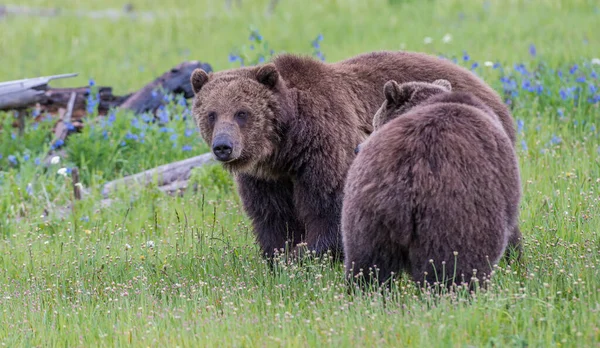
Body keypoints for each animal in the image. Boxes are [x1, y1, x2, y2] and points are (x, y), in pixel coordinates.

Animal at [191, 50, 516, 260]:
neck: (285, 147)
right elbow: (272, 216)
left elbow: (330, 206)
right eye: (211, 114)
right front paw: (280, 256)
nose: (223, 146)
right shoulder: (266, 178)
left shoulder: (324, 147)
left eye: (242, 112)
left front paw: (304, 254)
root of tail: (481, 80)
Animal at [342, 80, 520, 290]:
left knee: (367, 265)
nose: (358, 148)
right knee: (454, 268)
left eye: (374, 123)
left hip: (366, 215)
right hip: (454, 217)